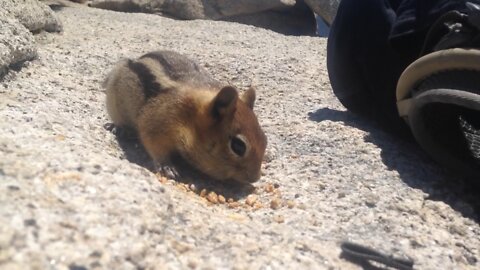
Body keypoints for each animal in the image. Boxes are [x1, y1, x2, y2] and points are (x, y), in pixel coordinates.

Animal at [105, 50, 268, 184]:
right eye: (238, 146)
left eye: (265, 139)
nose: (255, 178)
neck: (189, 118)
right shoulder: (156, 122)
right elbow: (155, 147)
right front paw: (167, 167)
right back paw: (117, 127)